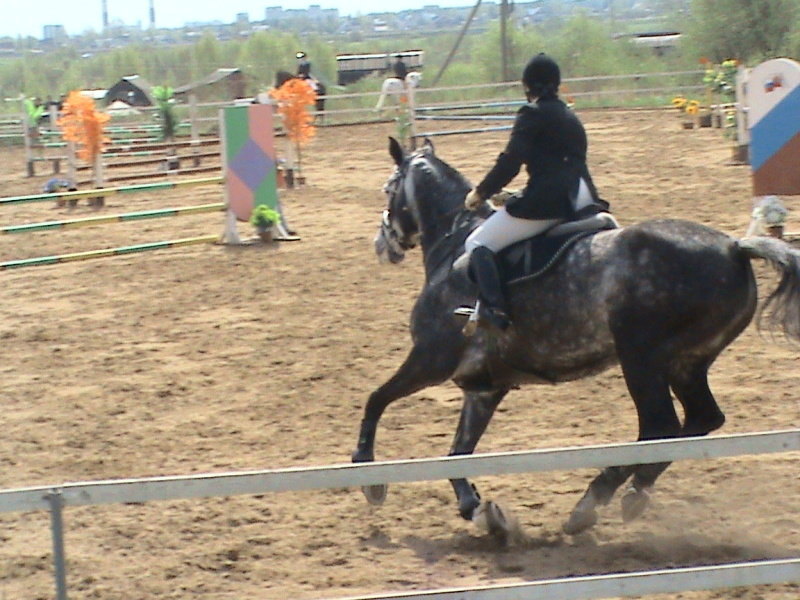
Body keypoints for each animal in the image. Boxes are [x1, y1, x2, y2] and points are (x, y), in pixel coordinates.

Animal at [354, 138, 800, 540]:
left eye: (389, 188)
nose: (382, 244)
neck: (452, 248)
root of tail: (734, 246)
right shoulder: (484, 388)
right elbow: (457, 454)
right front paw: (480, 511)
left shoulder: (432, 359)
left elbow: (376, 399)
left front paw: (370, 478)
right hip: (686, 363)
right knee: (699, 420)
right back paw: (621, 496)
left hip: (641, 358)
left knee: (659, 426)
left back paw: (594, 502)